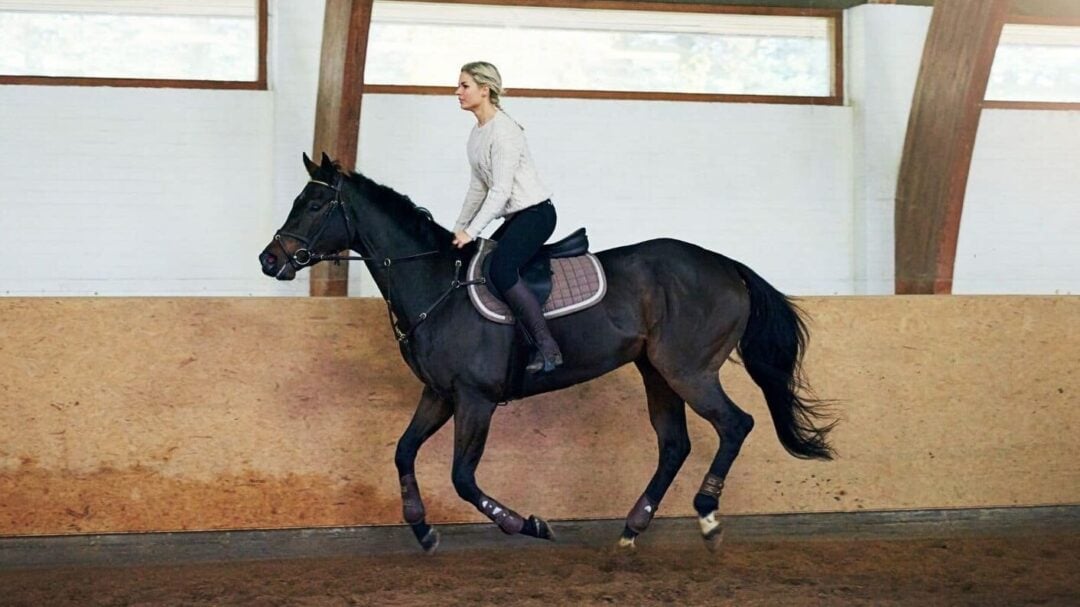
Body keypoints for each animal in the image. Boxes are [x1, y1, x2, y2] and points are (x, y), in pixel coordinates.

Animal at [259, 152, 834, 554]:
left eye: (314, 205)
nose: (270, 260)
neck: (437, 282)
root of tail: (727, 265)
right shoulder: (440, 395)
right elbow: (403, 451)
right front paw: (422, 529)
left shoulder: (475, 399)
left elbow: (463, 478)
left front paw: (528, 524)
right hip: (656, 371)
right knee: (674, 444)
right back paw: (633, 528)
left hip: (688, 370)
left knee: (735, 425)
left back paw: (708, 516)